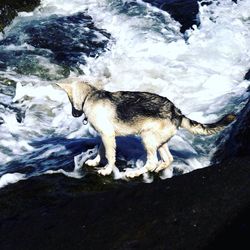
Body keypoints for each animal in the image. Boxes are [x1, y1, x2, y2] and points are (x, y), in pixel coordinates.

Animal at [57, 78, 236, 178]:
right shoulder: (105, 135)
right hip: (159, 141)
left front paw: (107, 170)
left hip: (147, 138)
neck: (90, 95)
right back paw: (159, 168)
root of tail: (176, 111)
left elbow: (110, 155)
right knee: (168, 159)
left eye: (68, 99)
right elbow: (101, 150)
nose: (74, 114)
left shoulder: (107, 135)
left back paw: (135, 172)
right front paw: (95, 161)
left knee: (151, 162)